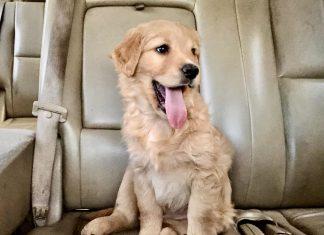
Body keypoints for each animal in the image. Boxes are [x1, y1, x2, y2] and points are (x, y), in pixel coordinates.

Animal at [80, 19, 233, 235]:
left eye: (193, 51)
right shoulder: (142, 173)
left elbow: (199, 219)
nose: (193, 70)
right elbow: (149, 213)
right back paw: (98, 225)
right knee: (126, 215)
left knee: (174, 227)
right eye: (162, 49)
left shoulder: (205, 173)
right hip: (129, 176)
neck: (160, 123)